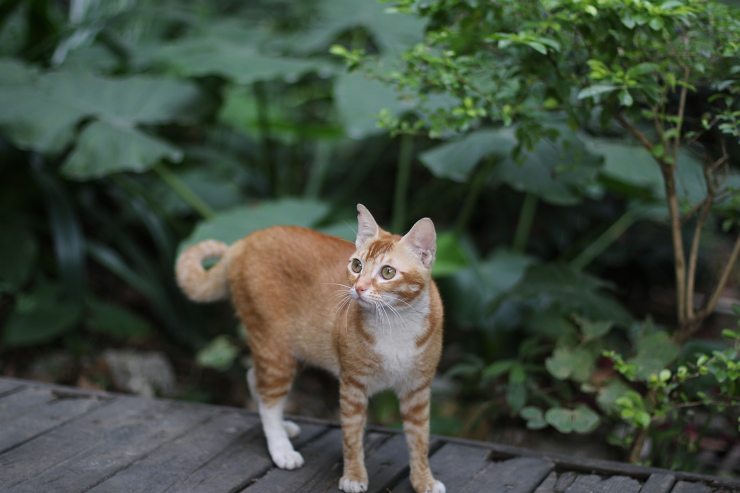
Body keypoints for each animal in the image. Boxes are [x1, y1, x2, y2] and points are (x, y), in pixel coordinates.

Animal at [178, 203, 446, 492]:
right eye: (357, 265)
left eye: (388, 272)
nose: (358, 288)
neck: (396, 323)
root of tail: (243, 241)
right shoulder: (352, 386)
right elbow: (352, 437)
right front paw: (354, 476)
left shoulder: (417, 389)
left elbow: (419, 440)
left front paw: (423, 480)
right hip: (276, 350)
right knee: (269, 399)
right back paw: (281, 447)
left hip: (298, 349)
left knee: (254, 378)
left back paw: (283, 427)